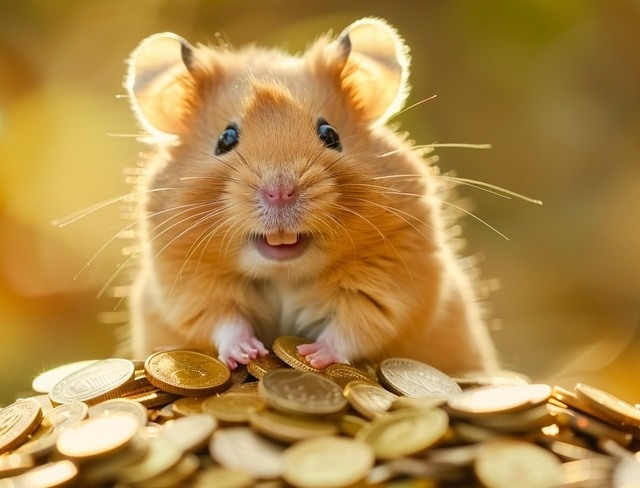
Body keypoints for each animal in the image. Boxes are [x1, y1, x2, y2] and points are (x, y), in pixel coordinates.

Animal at [124, 17, 498, 373]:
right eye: (225, 139)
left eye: (330, 134)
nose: (280, 191)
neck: (285, 272)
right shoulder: (185, 284)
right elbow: (221, 319)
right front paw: (247, 354)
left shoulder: (393, 279)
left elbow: (354, 324)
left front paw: (312, 357)